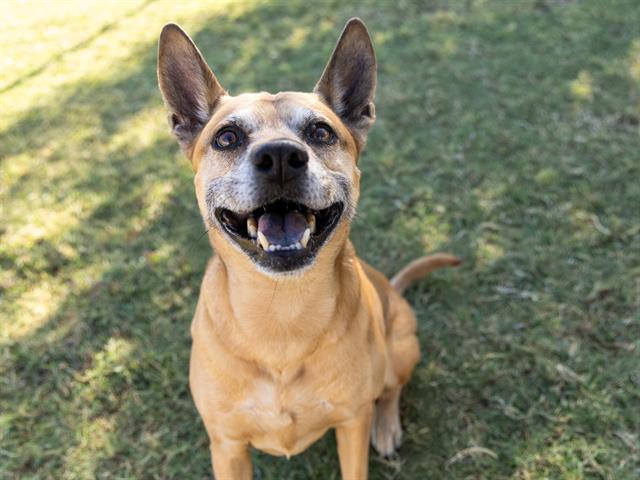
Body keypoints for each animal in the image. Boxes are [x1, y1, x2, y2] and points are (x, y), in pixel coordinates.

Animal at [159, 18, 460, 480]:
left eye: (320, 132)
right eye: (227, 137)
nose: (280, 157)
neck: (281, 312)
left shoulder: (352, 423)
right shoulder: (227, 445)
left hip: (401, 350)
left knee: (390, 390)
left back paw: (388, 426)